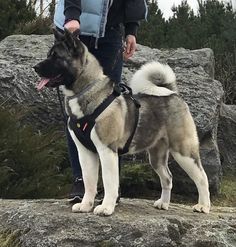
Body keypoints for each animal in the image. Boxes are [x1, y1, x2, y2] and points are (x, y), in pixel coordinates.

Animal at [34, 28, 211, 214]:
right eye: (49, 55)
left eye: (56, 57)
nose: (35, 67)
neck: (87, 91)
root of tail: (171, 93)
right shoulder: (85, 153)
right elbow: (89, 181)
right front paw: (86, 205)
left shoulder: (107, 150)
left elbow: (109, 182)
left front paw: (106, 207)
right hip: (156, 156)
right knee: (168, 177)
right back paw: (163, 203)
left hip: (183, 150)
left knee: (201, 177)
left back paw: (203, 206)